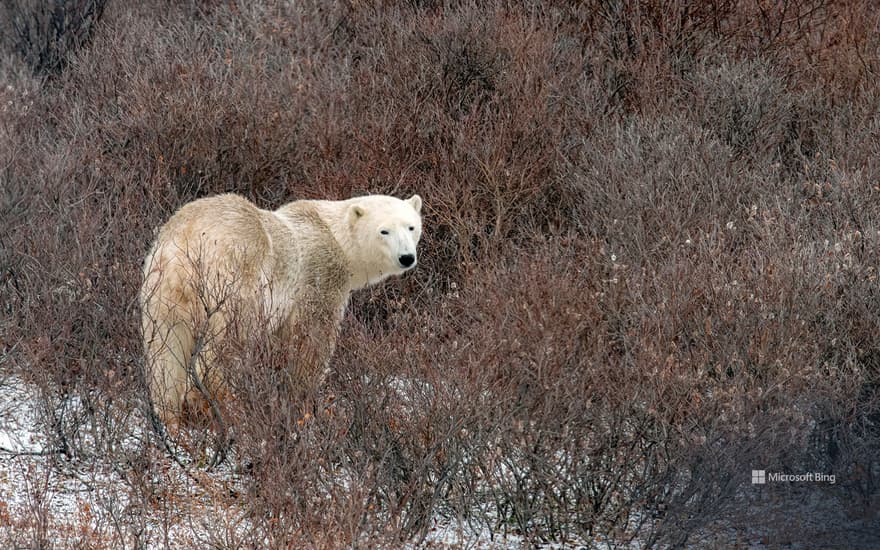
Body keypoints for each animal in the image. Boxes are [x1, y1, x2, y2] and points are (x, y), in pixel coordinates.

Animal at [140, 192, 423, 425]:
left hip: (162, 291)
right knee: (227, 343)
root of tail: (185, 244)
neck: (335, 237)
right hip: (234, 280)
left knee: (165, 353)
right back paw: (224, 405)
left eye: (411, 227)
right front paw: (306, 398)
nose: (406, 257)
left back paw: (171, 418)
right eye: (384, 231)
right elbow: (312, 341)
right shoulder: (320, 277)